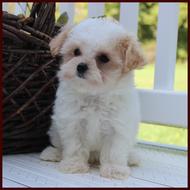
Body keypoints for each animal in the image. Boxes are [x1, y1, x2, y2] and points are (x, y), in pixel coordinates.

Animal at [40, 17, 145, 180]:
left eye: (104, 58)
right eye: (76, 51)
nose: (81, 66)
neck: (94, 95)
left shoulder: (118, 127)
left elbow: (114, 152)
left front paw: (114, 170)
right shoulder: (73, 123)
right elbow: (75, 146)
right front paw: (74, 165)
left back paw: (132, 157)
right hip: (55, 130)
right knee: (58, 144)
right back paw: (53, 153)